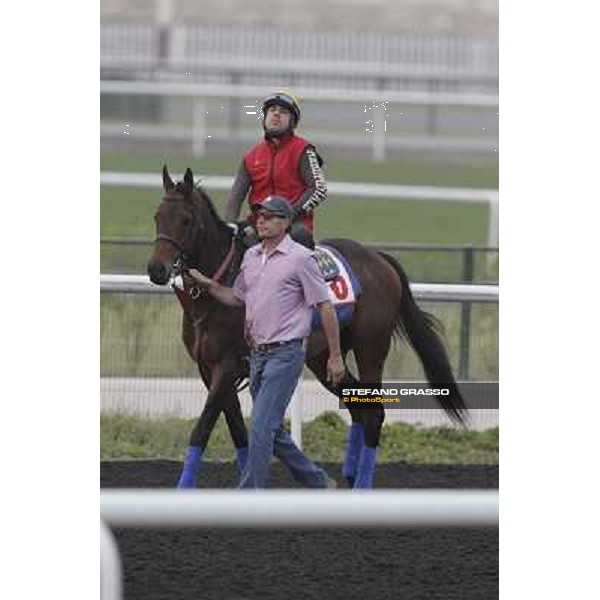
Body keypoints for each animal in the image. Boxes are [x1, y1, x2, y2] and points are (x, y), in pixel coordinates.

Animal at [148, 166, 466, 490]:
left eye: (186, 220)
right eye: (157, 216)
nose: (156, 269)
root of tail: (379, 258)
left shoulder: (227, 367)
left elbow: (203, 428)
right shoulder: (208, 369)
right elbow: (238, 430)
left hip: (371, 349)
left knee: (374, 412)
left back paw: (361, 483)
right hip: (326, 357)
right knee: (357, 407)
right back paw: (348, 478)